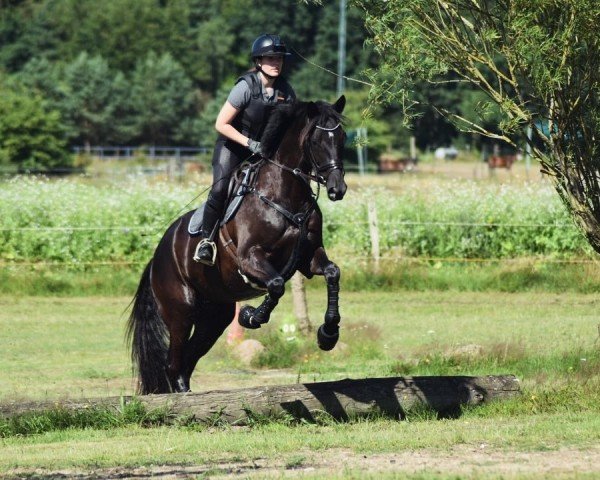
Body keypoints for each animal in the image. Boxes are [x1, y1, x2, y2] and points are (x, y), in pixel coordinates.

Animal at [129, 94, 350, 394]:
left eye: (343, 138)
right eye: (316, 141)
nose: (338, 189)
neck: (285, 195)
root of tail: (155, 258)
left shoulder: (309, 258)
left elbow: (332, 273)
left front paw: (328, 334)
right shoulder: (250, 259)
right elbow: (276, 285)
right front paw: (250, 317)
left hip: (214, 315)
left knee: (187, 359)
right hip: (181, 311)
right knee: (173, 362)